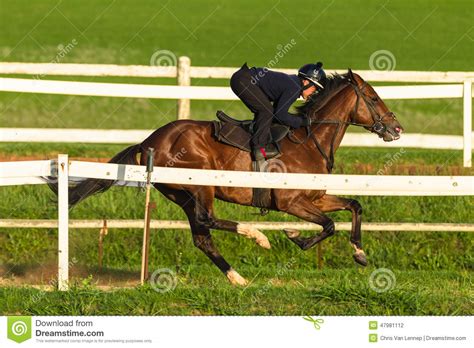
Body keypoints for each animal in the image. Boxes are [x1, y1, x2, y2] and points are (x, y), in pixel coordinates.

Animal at [55, 70, 404, 286]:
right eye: (373, 98)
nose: (396, 128)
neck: (310, 140)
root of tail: (149, 140)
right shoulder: (291, 201)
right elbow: (328, 225)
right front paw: (295, 236)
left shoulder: (315, 197)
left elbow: (354, 205)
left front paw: (359, 253)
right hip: (201, 184)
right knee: (207, 220)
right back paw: (257, 236)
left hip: (181, 193)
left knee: (202, 236)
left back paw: (237, 277)